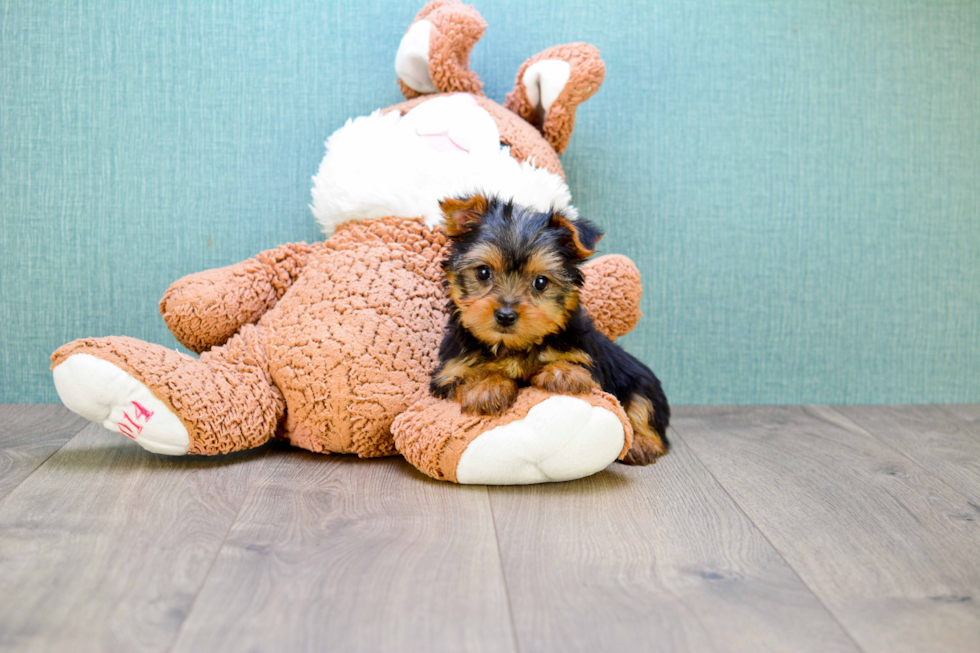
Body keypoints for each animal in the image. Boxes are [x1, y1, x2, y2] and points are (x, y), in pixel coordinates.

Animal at [430, 194, 668, 464]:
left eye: (541, 282)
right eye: (483, 272)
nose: (505, 315)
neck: (513, 346)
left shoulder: (588, 359)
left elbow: (575, 366)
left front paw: (562, 374)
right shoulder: (449, 372)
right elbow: (469, 375)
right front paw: (487, 387)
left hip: (640, 381)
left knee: (643, 409)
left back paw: (642, 444)